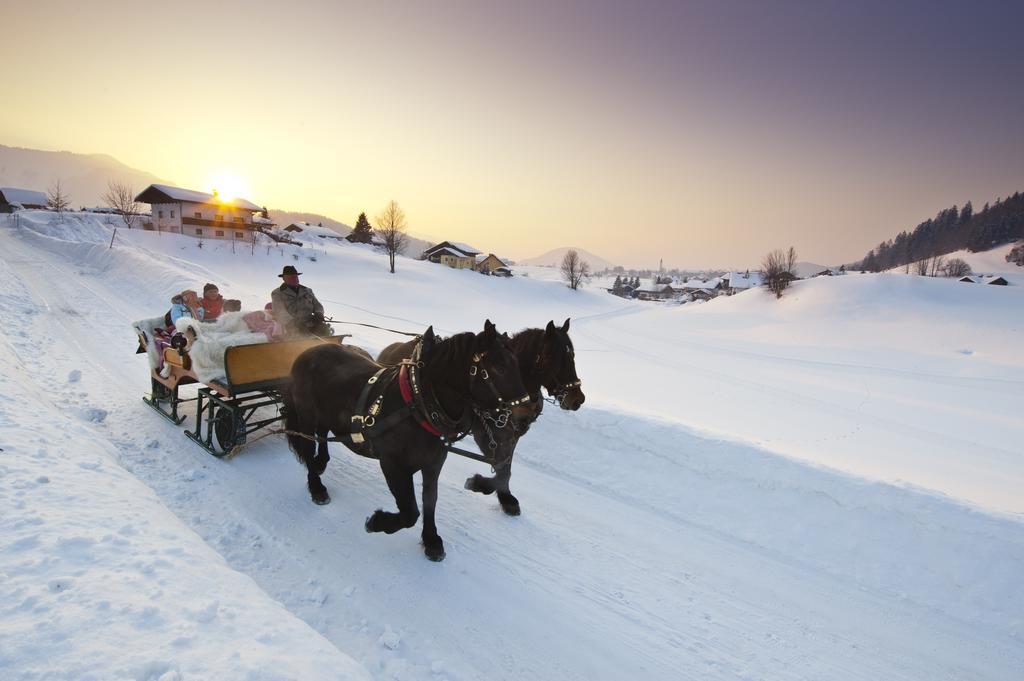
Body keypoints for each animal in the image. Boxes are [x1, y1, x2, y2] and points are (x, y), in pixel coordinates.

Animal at [286, 321, 528, 561]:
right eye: (500, 368)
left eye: (517, 364)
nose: (523, 415)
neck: (419, 404)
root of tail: (306, 352)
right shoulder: (393, 465)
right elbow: (410, 512)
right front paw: (377, 522)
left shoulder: (433, 464)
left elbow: (430, 500)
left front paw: (431, 539)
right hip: (306, 416)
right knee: (307, 445)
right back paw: (316, 486)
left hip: (326, 416)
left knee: (322, 434)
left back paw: (321, 463)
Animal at [378, 319, 585, 516]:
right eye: (553, 357)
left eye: (573, 356)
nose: (578, 399)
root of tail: (390, 350)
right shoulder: (486, 434)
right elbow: (502, 471)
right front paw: (481, 485)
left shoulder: (512, 436)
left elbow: (505, 467)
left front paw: (503, 495)